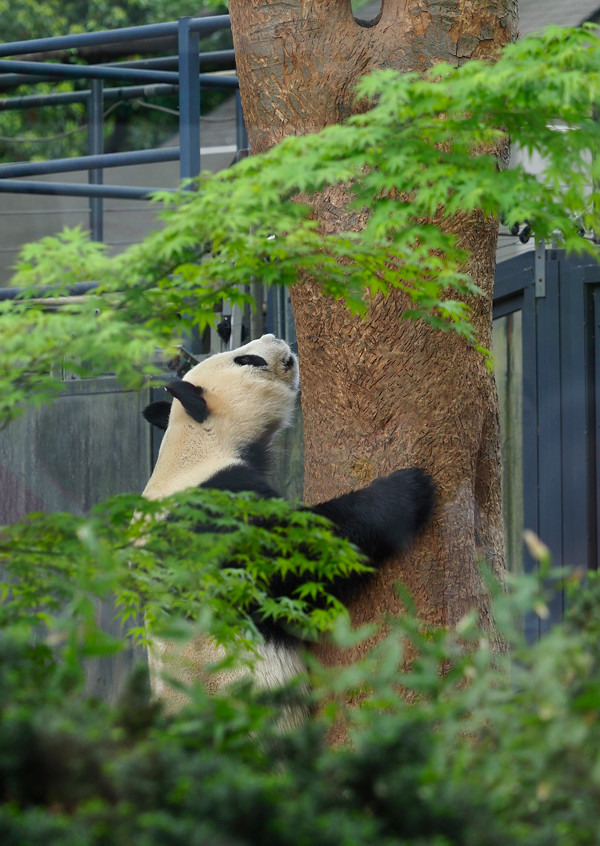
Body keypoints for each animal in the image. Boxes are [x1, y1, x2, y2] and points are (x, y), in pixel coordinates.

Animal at [141, 334, 434, 720]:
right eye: (248, 360)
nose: (275, 339)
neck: (194, 448)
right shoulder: (215, 510)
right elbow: (292, 555)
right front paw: (408, 491)